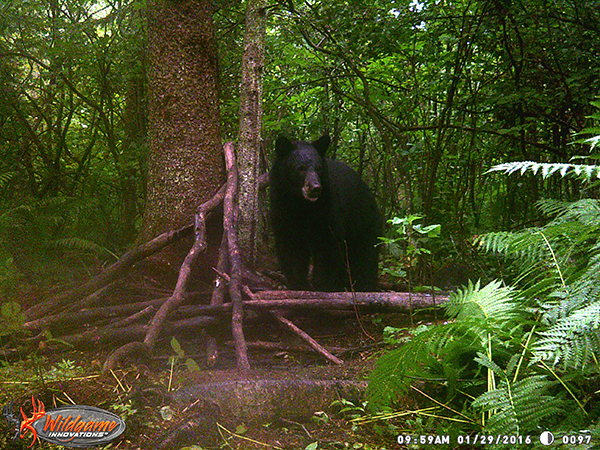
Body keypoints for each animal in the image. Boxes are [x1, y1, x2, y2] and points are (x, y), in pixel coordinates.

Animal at [270, 134, 382, 292]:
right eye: (300, 168)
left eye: (318, 168)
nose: (315, 187)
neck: (301, 205)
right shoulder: (282, 208)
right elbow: (291, 247)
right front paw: (300, 284)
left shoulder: (327, 209)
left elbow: (328, 245)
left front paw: (323, 285)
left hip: (365, 224)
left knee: (365, 258)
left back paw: (363, 286)